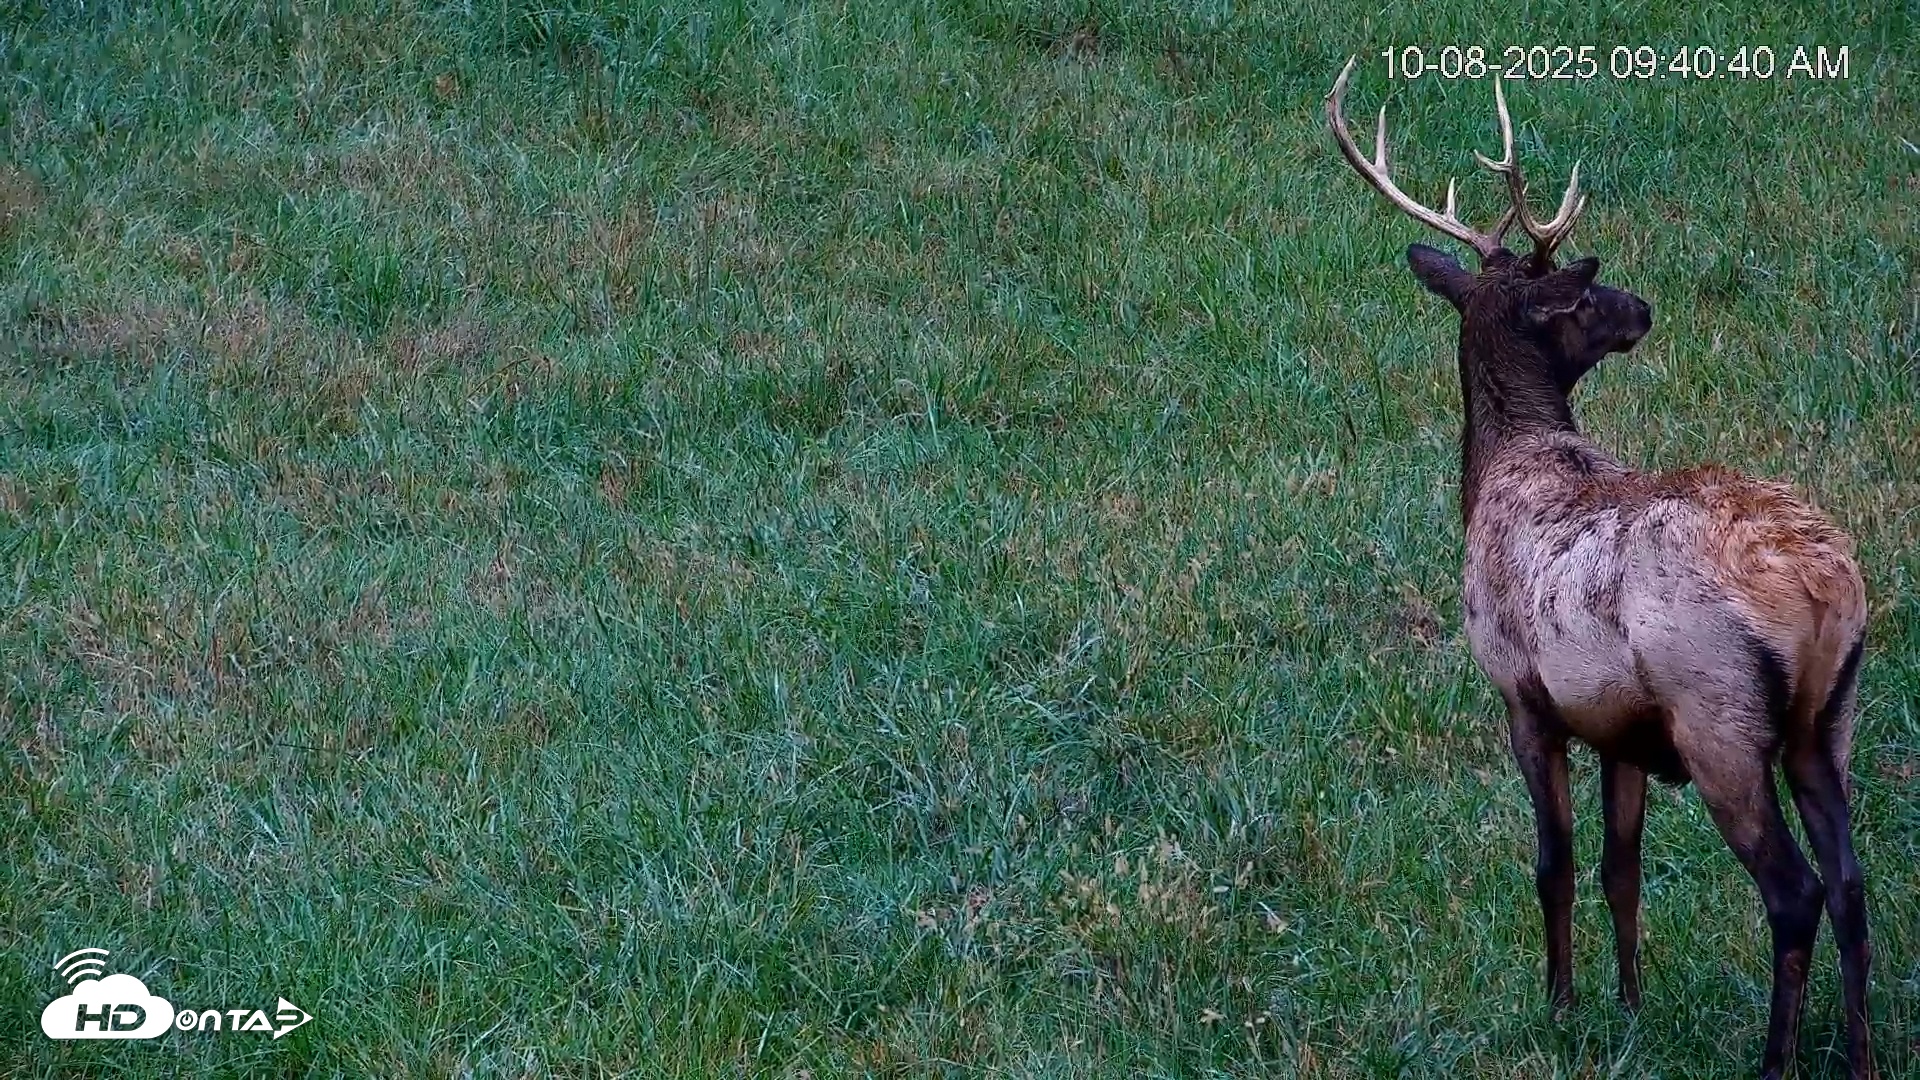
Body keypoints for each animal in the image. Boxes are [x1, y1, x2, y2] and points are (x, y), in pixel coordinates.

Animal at [1324, 57, 1874, 1079]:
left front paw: (1560, 1004)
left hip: (1718, 716)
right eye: (1581, 302)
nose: (1641, 307)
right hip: (1830, 719)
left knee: (1796, 892)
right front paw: (1630, 1003)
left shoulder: (1521, 693)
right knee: (1854, 883)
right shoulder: (1620, 727)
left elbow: (1555, 862)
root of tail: (1825, 594)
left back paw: (1773, 1057)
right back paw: (1858, 1057)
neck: (1501, 468)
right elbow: (1623, 866)